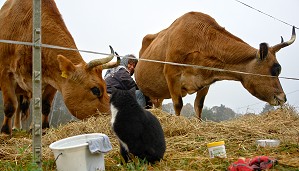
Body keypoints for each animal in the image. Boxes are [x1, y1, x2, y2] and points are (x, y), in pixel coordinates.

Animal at [0, 0, 119, 136]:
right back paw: (15, 127)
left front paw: (43, 128)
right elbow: (10, 105)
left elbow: (45, 105)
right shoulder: (5, 72)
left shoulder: (52, 80)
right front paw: (5, 132)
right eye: (96, 90)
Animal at [135, 11, 296, 119]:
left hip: (158, 94)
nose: (283, 98)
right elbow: (178, 104)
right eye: (274, 70)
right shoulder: (171, 74)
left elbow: (198, 106)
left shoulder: (205, 82)